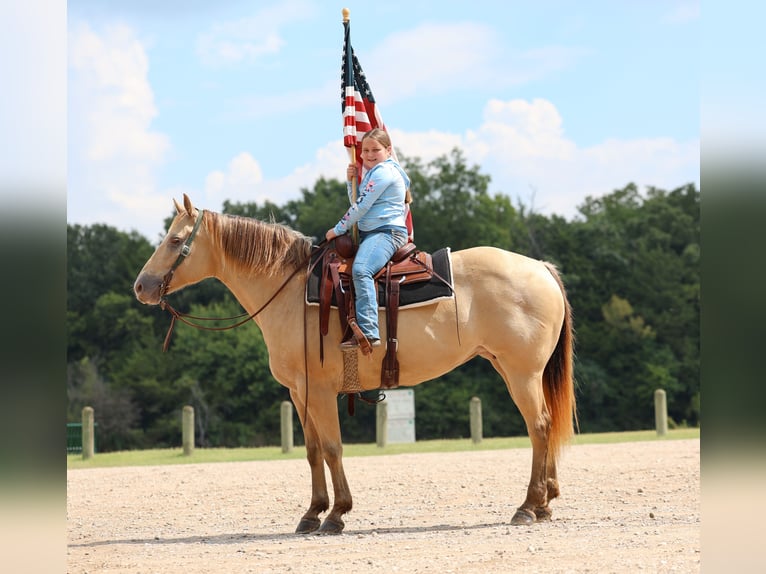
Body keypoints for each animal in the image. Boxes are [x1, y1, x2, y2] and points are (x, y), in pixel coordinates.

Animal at [133, 194, 577, 534]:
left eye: (175, 240)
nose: (141, 286)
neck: (290, 291)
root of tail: (540, 268)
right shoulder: (300, 393)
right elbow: (312, 451)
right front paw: (312, 513)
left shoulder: (320, 391)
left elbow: (332, 448)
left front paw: (336, 514)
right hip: (509, 368)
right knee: (544, 426)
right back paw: (545, 503)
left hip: (522, 374)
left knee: (539, 426)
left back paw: (529, 506)